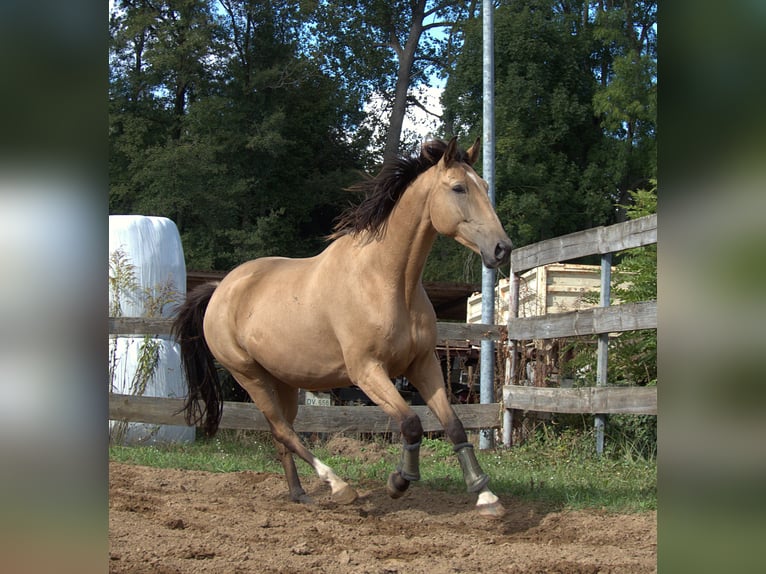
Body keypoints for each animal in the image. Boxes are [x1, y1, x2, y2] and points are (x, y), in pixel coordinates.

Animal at [171, 137, 512, 520]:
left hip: (283, 380)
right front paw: (399, 481)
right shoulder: (367, 371)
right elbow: (411, 423)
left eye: (485, 186)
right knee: (284, 430)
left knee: (281, 432)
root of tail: (221, 289)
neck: (387, 281)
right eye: (458, 188)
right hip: (249, 375)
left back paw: (299, 494)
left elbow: (453, 425)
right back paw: (339, 487)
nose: (502, 248)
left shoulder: (422, 364)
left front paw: (486, 496)